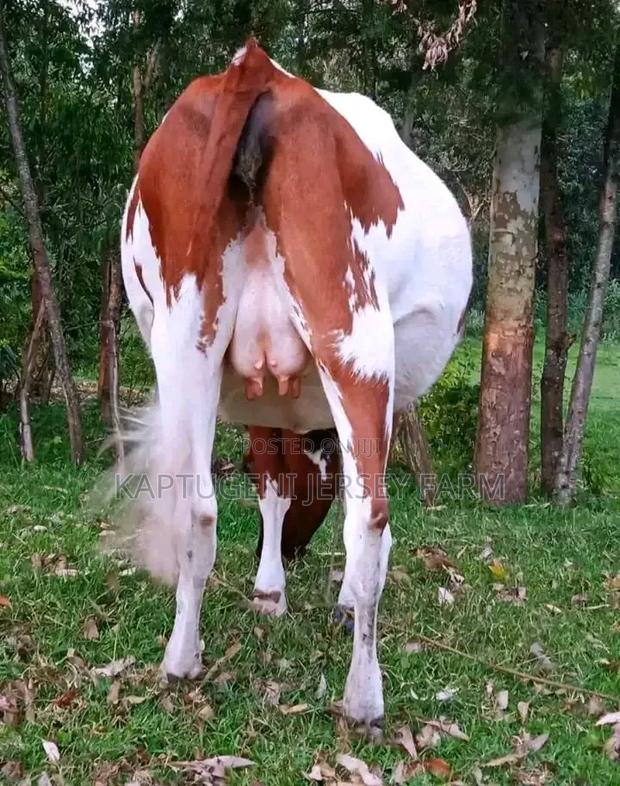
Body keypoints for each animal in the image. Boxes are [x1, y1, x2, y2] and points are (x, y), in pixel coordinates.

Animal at [119, 39, 472, 728]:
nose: (290, 554)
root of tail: (257, 66)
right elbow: (287, 487)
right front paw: (303, 594)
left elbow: (271, 483)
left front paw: (269, 590)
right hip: (356, 336)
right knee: (369, 516)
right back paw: (364, 698)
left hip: (185, 339)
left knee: (197, 504)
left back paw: (181, 659)